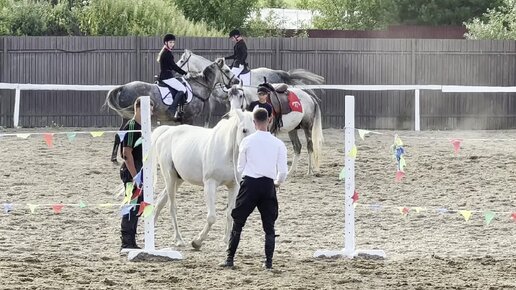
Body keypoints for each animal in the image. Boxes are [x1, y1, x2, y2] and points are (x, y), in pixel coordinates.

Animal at [151, 109, 256, 249]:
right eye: (244, 130)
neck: (226, 152)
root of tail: (167, 131)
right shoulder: (210, 184)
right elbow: (211, 217)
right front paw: (197, 242)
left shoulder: (234, 186)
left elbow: (229, 213)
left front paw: (226, 241)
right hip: (170, 178)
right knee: (172, 207)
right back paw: (179, 239)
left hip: (178, 180)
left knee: (160, 202)